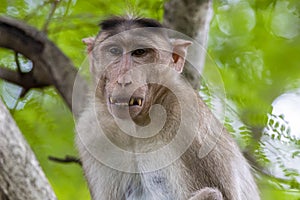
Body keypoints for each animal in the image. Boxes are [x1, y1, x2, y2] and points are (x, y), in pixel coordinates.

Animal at [75, 16, 260, 200]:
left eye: (140, 52)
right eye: (114, 51)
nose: (124, 79)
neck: (137, 127)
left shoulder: (187, 114)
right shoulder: (91, 130)